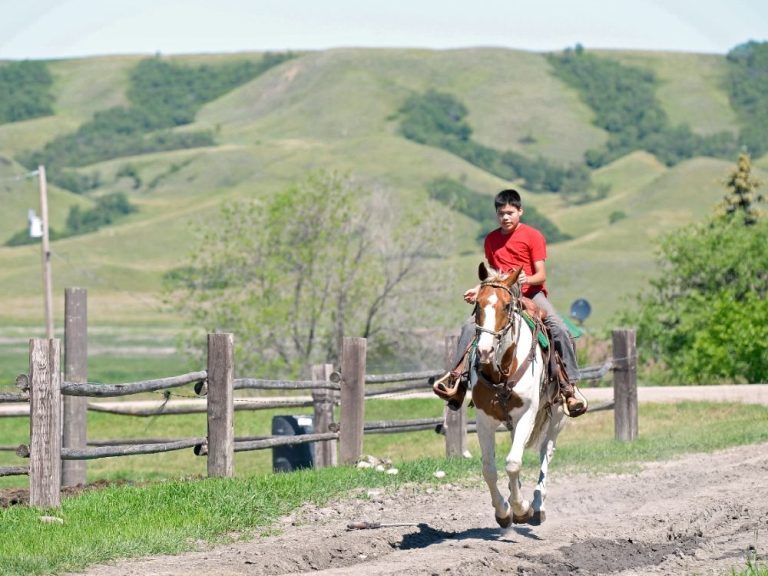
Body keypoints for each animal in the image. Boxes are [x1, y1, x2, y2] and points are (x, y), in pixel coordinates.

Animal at [464, 260, 568, 528]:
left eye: (507, 305)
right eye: (478, 305)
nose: (485, 351)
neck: (502, 370)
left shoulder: (527, 414)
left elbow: (512, 463)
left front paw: (521, 509)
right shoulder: (484, 420)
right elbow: (489, 469)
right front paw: (503, 510)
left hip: (557, 416)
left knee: (546, 452)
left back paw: (538, 505)